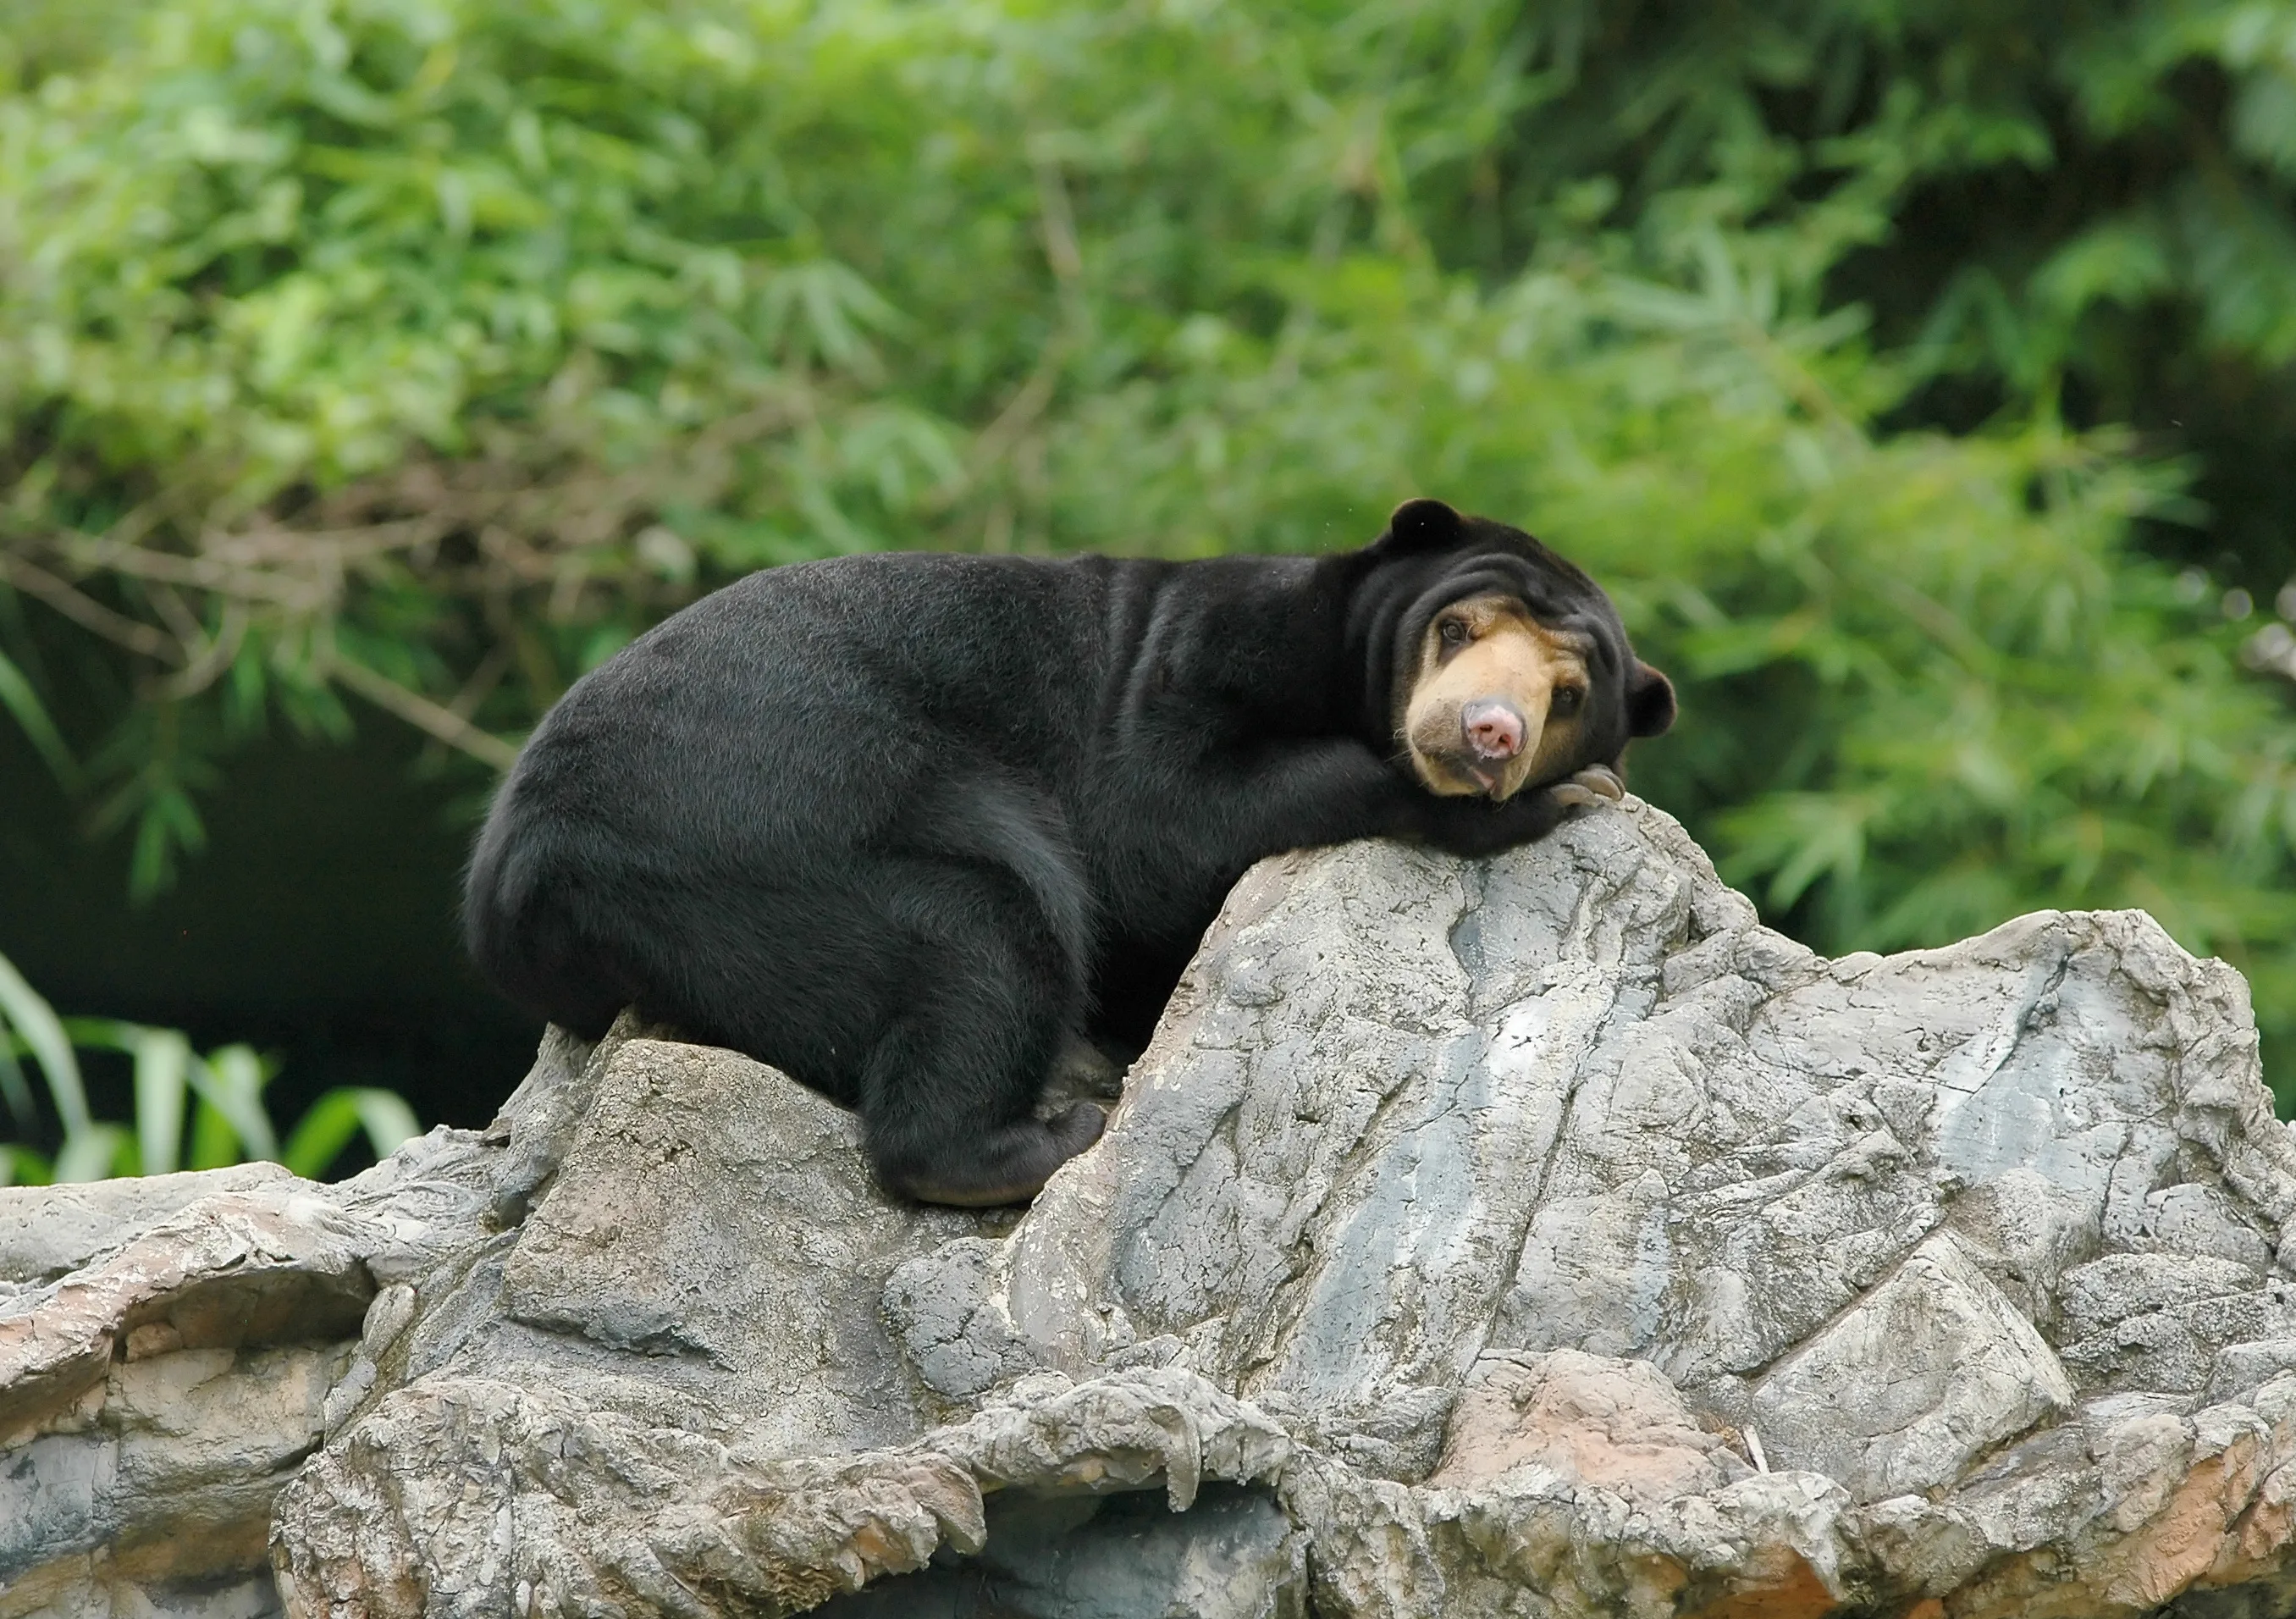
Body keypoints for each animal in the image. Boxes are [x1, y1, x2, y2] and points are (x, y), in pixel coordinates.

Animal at [463, 498, 1674, 1206]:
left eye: (1570, 692)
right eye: (1457, 630)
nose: (1489, 734)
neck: (1341, 659)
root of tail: (512, 881)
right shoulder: (1204, 650)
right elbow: (1159, 822)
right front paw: (1558, 799)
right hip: (762, 831)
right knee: (990, 927)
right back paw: (1046, 1136)